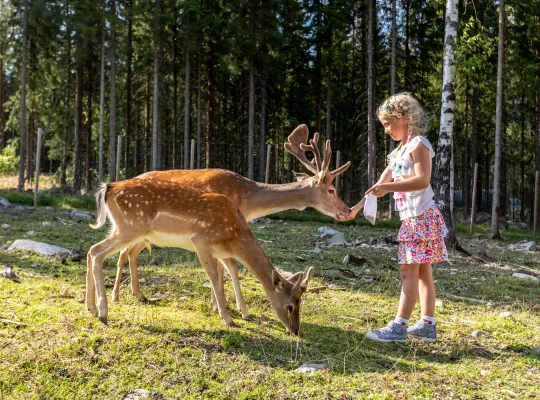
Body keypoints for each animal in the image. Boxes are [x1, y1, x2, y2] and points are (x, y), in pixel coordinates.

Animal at [87, 180, 316, 332]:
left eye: (301, 302)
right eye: (289, 305)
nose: (296, 330)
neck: (234, 234)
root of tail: (108, 188)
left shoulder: (221, 251)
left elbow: (232, 271)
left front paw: (243, 313)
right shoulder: (202, 241)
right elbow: (213, 276)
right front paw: (228, 318)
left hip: (122, 228)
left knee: (91, 251)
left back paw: (91, 307)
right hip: (130, 227)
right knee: (97, 252)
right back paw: (103, 312)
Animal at [107, 125, 362, 318]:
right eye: (331, 190)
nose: (348, 211)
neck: (247, 199)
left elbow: (225, 265)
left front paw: (222, 305)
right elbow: (222, 267)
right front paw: (221, 306)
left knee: (130, 253)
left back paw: (138, 294)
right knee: (122, 253)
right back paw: (118, 296)